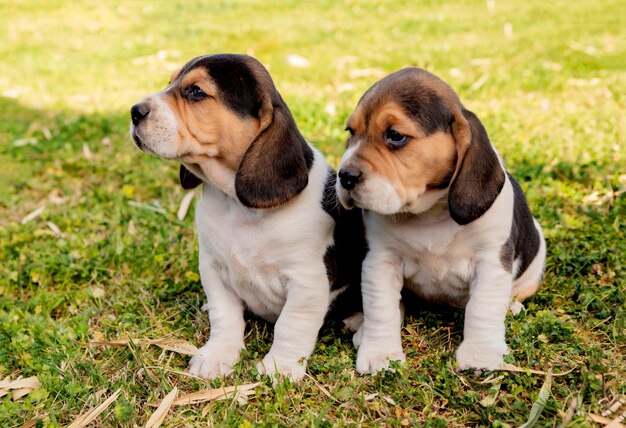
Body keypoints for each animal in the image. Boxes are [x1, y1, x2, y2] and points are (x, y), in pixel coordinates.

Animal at [129, 54, 364, 382]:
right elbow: (225, 317)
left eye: (196, 92)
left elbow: (291, 326)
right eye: (169, 82)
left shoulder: (307, 281)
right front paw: (216, 356)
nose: (134, 111)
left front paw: (280, 367)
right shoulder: (213, 269)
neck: (237, 205)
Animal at [334, 67, 544, 372]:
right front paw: (380, 353)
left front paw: (480, 354)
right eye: (351, 132)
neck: (429, 214)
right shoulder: (381, 261)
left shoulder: (491, 262)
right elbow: (382, 309)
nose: (345, 176)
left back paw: (512, 306)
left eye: (395, 135)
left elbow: (482, 308)